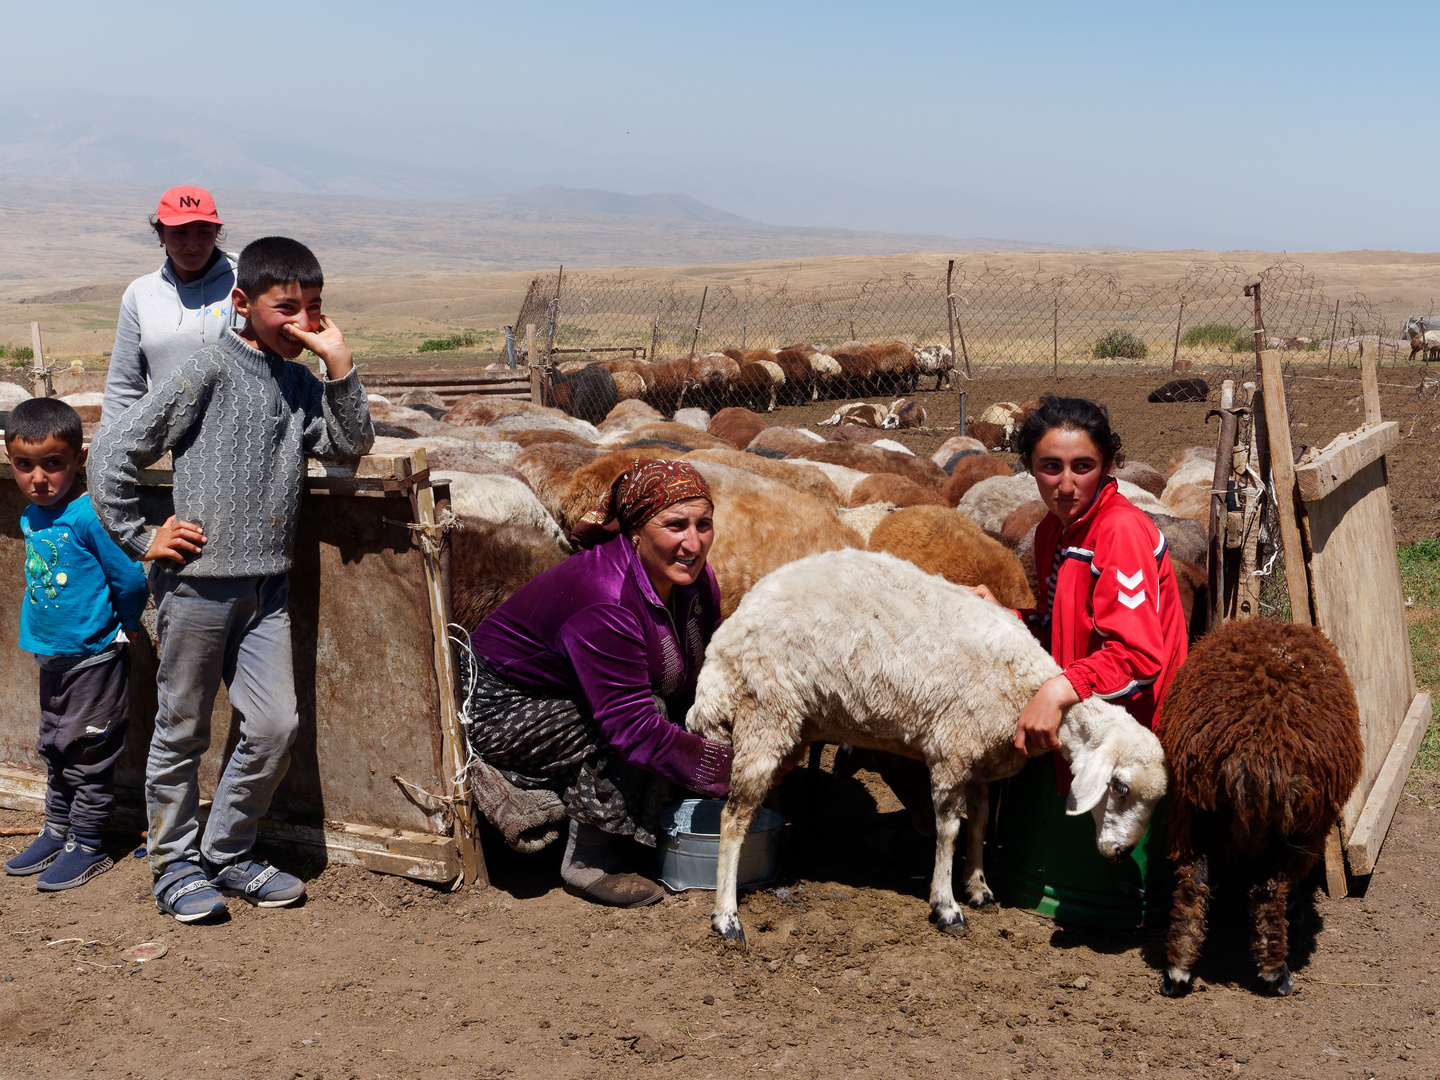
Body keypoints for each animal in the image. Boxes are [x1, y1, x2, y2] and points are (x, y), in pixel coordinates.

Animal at [685, 552, 1169, 944]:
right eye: (1120, 786)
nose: (1121, 853)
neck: (1029, 687)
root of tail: (726, 638)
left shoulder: (979, 759)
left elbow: (979, 822)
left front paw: (979, 887)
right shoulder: (951, 750)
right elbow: (949, 830)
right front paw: (947, 905)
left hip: (790, 724)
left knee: (767, 797)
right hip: (766, 711)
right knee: (734, 816)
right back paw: (727, 917)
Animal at [1157, 622, 1359, 1002]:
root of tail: (1253, 751)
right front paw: (1296, 909)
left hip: (1191, 808)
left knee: (1192, 886)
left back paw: (1177, 971)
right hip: (1286, 827)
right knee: (1268, 894)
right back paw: (1275, 974)